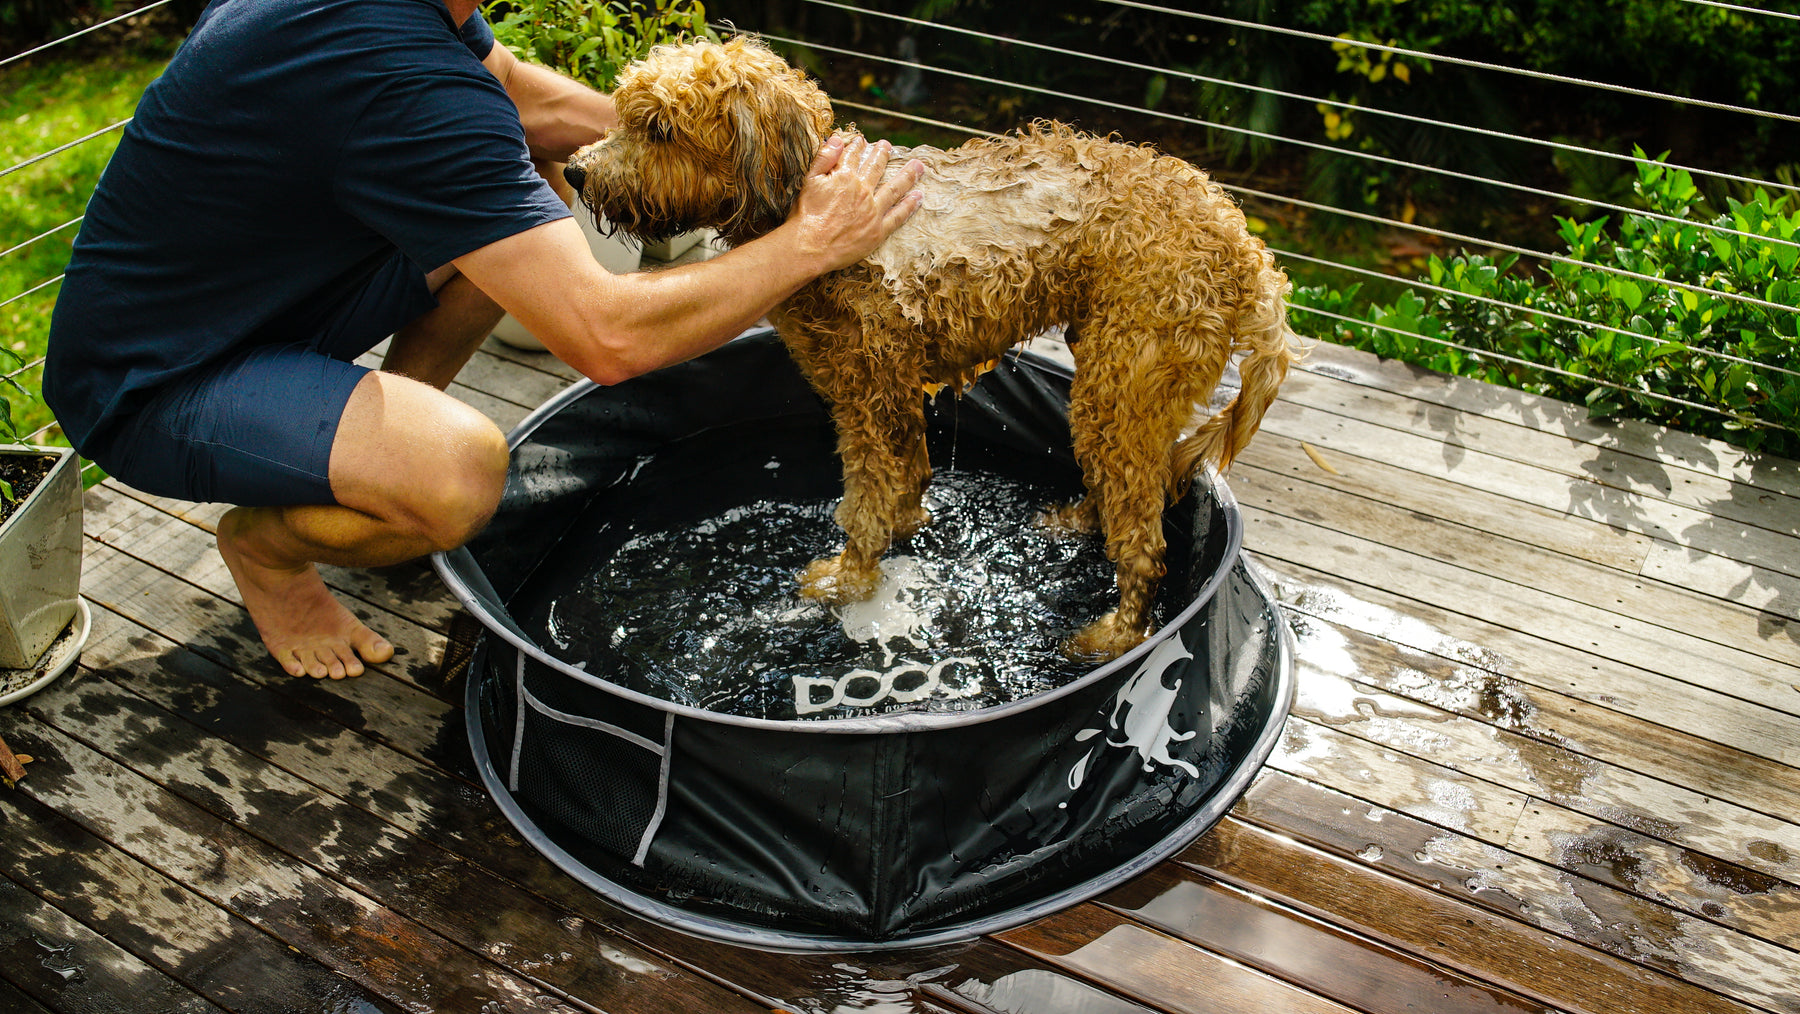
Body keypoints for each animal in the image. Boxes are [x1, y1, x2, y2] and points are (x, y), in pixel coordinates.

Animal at [561, 35, 1296, 662]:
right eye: (624, 114)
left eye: (660, 128)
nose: (575, 172)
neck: (804, 211)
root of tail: (1242, 244)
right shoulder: (891, 391)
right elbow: (907, 478)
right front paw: (906, 528)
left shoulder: (864, 397)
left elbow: (863, 505)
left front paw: (848, 582)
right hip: (1121, 387)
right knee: (1136, 487)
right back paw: (1077, 523)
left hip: (1124, 384)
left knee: (1144, 538)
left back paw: (1113, 637)